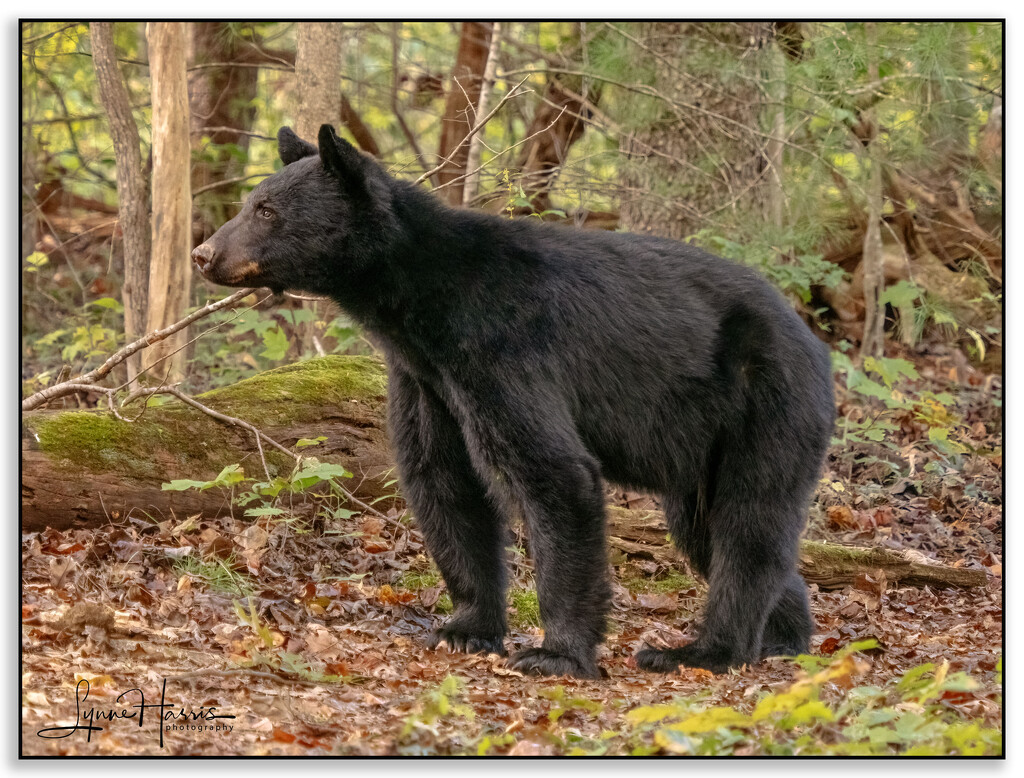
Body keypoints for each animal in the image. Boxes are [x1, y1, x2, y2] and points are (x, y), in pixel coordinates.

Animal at [192, 124, 831, 679]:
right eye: (252, 201)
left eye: (266, 210)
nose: (203, 252)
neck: (421, 302)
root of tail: (812, 339)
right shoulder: (428, 380)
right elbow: (442, 480)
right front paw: (464, 628)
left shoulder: (504, 349)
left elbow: (553, 472)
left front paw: (556, 653)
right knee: (710, 530)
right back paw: (783, 638)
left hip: (768, 403)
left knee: (749, 521)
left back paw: (703, 651)